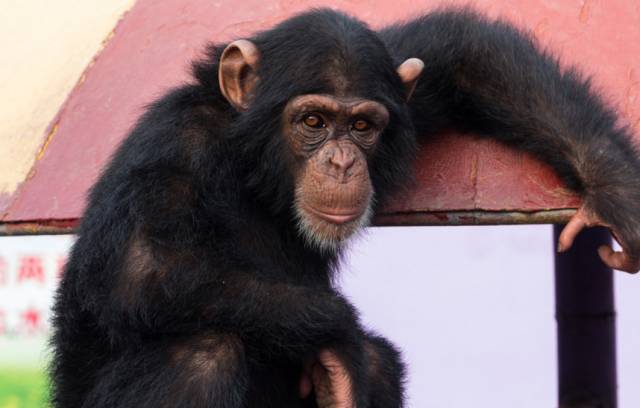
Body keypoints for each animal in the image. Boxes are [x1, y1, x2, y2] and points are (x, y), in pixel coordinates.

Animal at [50, 6, 640, 408]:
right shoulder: (172, 150)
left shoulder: (401, 92)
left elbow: (463, 49)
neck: (254, 172)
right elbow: (140, 269)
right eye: (313, 121)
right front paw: (341, 335)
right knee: (200, 354)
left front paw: (617, 191)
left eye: (361, 125)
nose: (340, 161)